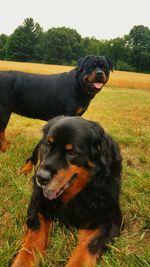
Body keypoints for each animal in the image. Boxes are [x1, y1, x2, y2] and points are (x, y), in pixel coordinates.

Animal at [11, 116, 122, 267]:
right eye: (48, 145)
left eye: (72, 153)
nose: (41, 178)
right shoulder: (38, 202)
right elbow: (33, 238)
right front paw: (22, 262)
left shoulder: (109, 218)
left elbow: (88, 247)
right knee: (32, 158)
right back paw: (24, 170)